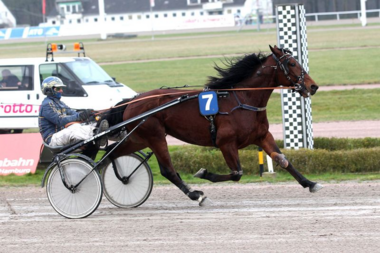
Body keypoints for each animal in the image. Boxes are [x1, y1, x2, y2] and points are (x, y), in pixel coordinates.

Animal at [105, 45, 322, 204]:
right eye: (292, 63)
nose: (313, 86)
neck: (243, 100)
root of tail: (131, 101)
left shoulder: (262, 136)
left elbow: (283, 160)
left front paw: (310, 183)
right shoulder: (226, 143)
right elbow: (237, 173)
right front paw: (204, 173)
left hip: (138, 138)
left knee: (111, 155)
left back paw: (121, 179)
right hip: (155, 136)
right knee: (167, 170)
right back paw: (195, 195)